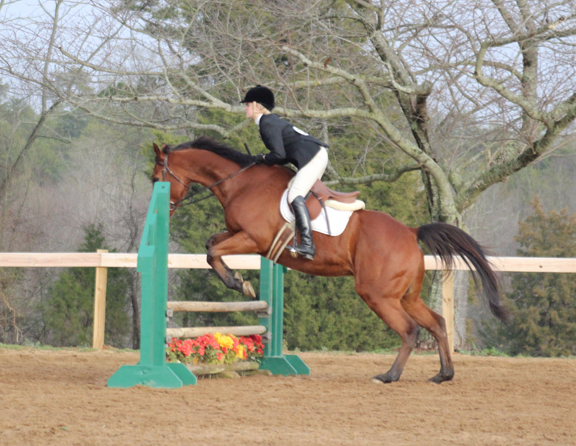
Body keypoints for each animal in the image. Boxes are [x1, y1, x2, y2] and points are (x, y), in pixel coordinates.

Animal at [150, 137, 508, 384]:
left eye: (156, 179)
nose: (162, 208)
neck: (239, 182)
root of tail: (410, 231)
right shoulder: (237, 234)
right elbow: (211, 245)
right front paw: (240, 281)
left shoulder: (253, 239)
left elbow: (212, 252)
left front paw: (239, 284)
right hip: (406, 295)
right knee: (436, 323)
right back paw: (443, 374)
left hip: (377, 294)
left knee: (409, 330)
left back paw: (388, 376)